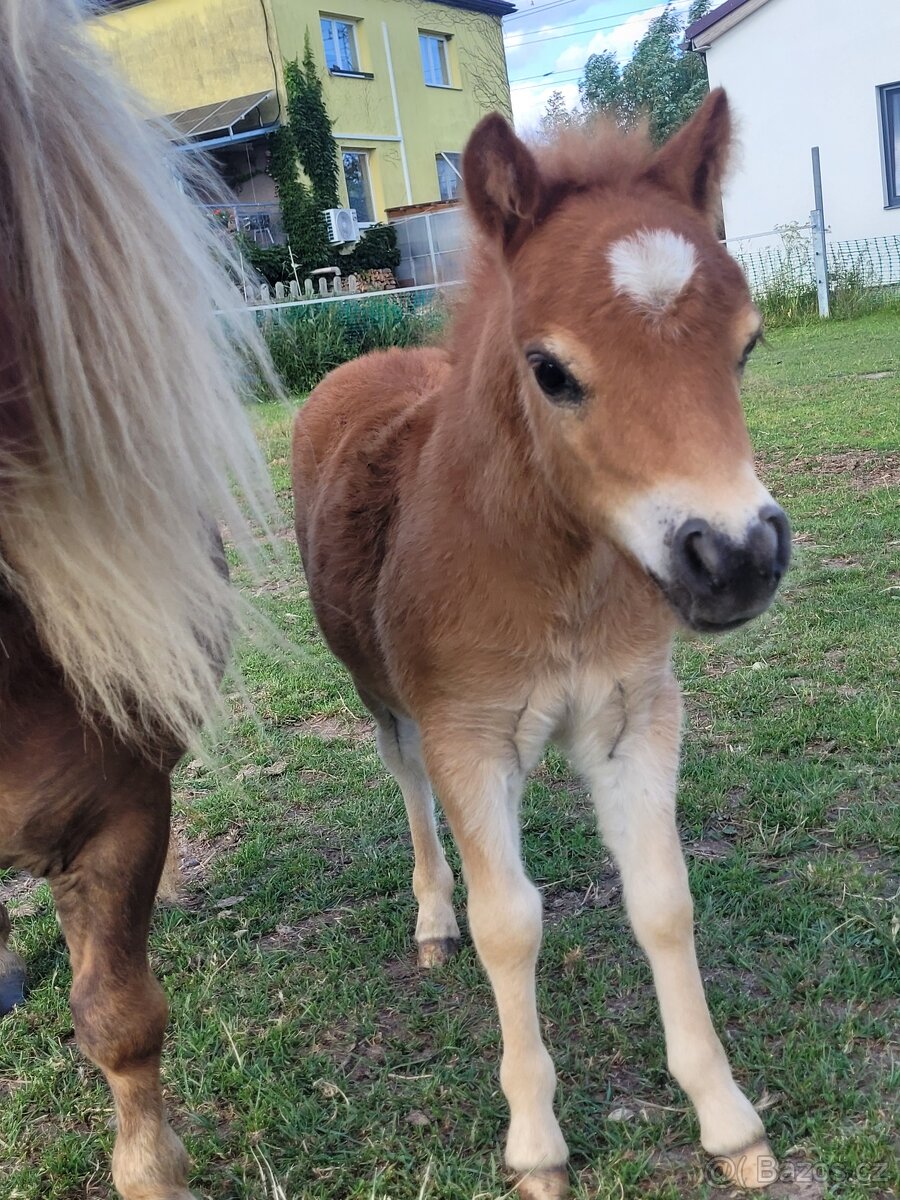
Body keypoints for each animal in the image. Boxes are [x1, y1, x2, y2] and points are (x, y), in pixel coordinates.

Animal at [292, 91, 791, 1197]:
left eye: (748, 347)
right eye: (552, 371)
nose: (737, 556)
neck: (556, 574)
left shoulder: (634, 713)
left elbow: (663, 898)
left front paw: (728, 1120)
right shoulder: (469, 736)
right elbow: (509, 923)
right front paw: (536, 1146)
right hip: (382, 694)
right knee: (408, 786)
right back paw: (431, 916)